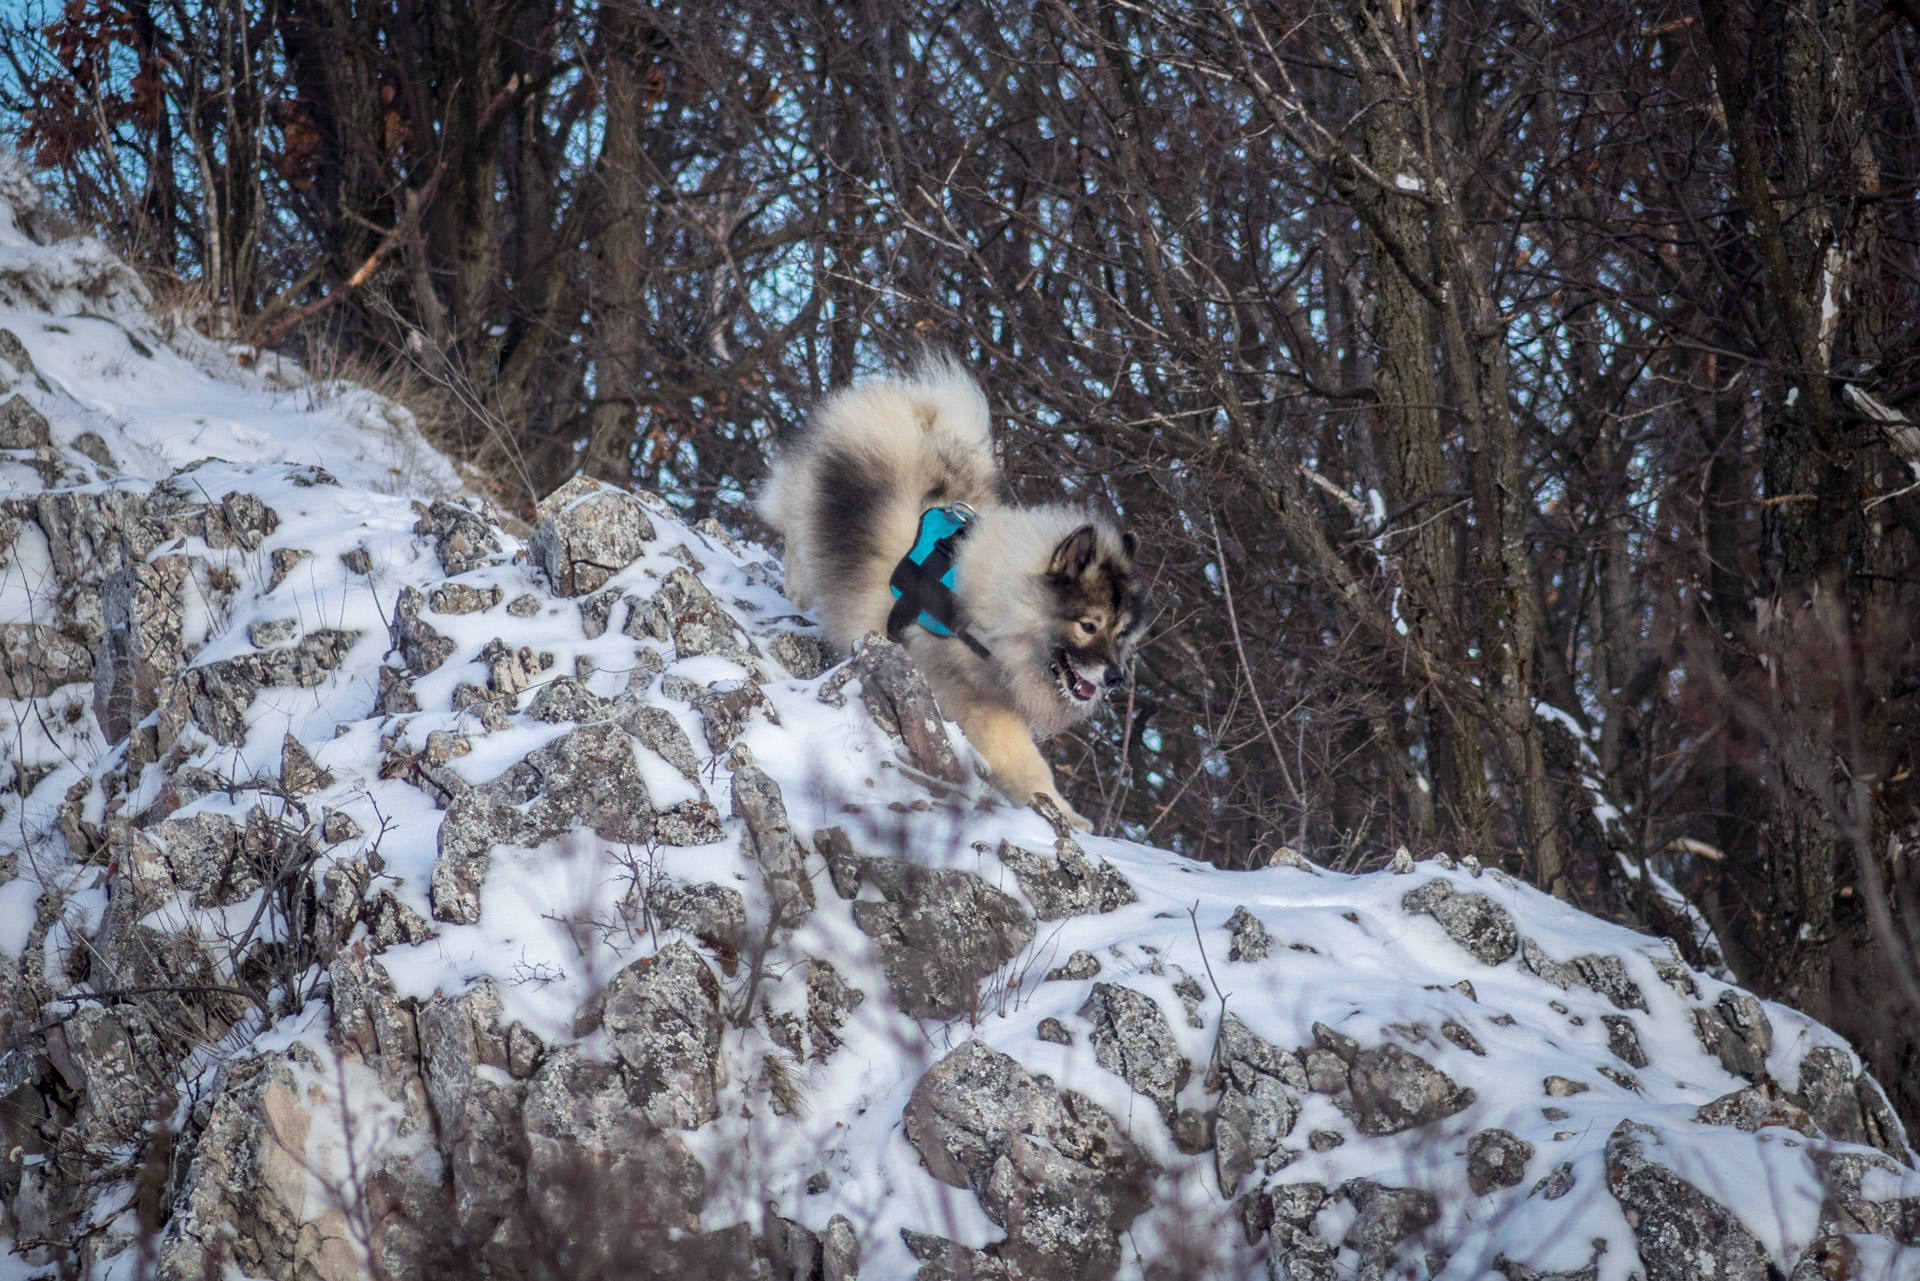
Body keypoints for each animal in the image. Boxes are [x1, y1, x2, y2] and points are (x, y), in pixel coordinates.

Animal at [756, 355, 1136, 833]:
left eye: (1121, 634)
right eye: (1088, 625)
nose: (1117, 678)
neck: (1001, 607)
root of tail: (911, 410)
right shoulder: (978, 702)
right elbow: (1027, 762)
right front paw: (1062, 813)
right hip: (817, 507)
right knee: (794, 529)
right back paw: (800, 587)